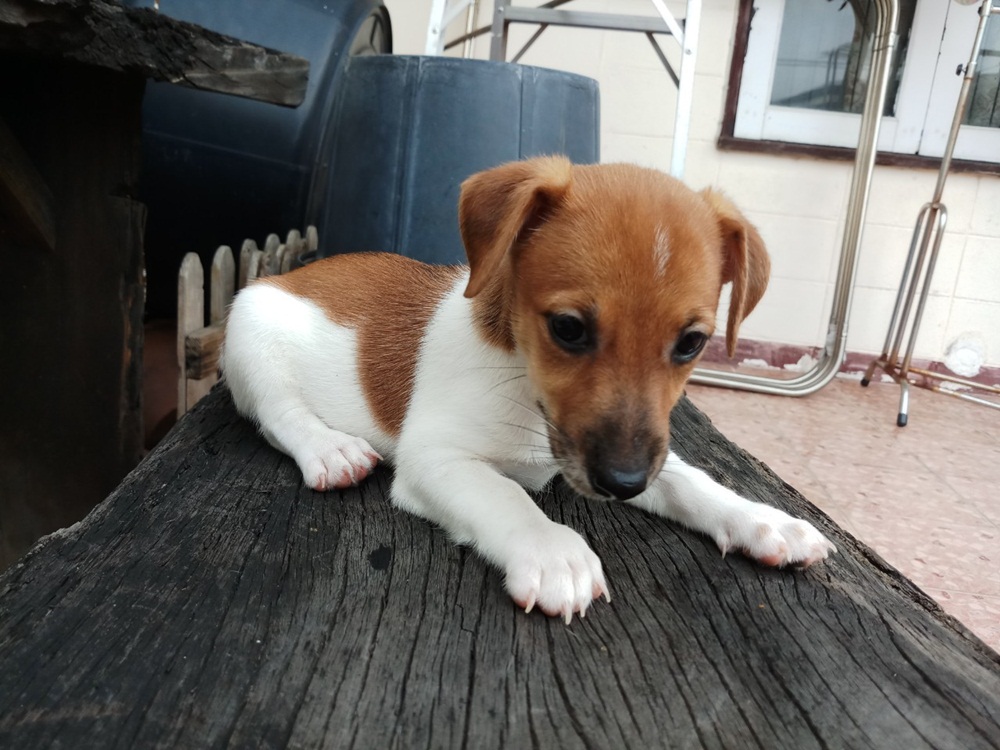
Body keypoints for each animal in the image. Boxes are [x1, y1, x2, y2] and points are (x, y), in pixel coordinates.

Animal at [222, 156, 836, 622]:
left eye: (691, 343)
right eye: (567, 328)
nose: (624, 484)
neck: (522, 388)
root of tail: (293, 274)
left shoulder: (632, 455)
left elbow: (692, 482)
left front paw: (762, 519)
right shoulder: (436, 458)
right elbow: (506, 495)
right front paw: (554, 552)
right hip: (252, 339)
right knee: (278, 416)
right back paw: (330, 450)